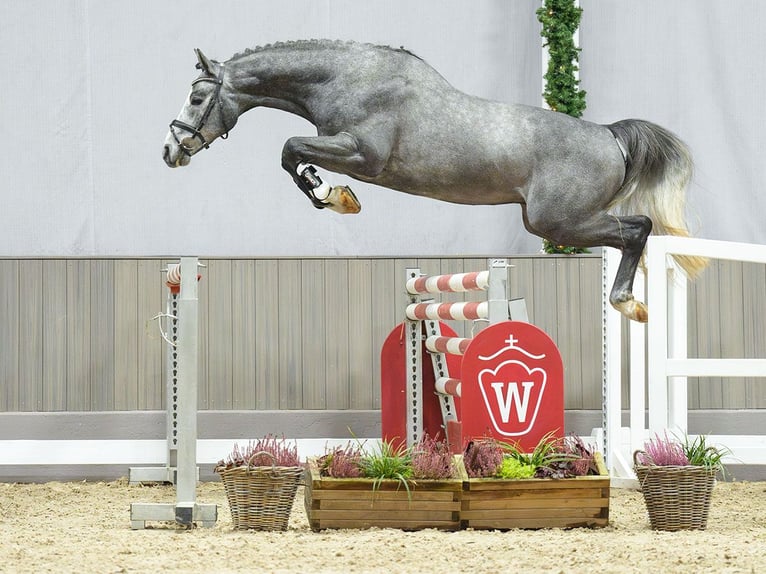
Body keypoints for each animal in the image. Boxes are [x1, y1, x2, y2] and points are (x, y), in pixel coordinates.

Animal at [164, 39, 708, 324]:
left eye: (196, 97)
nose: (170, 152)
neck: (346, 78)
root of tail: (610, 136)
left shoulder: (363, 154)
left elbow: (290, 150)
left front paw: (334, 196)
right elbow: (292, 157)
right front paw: (334, 195)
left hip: (556, 222)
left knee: (637, 229)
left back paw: (628, 303)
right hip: (559, 221)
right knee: (633, 232)